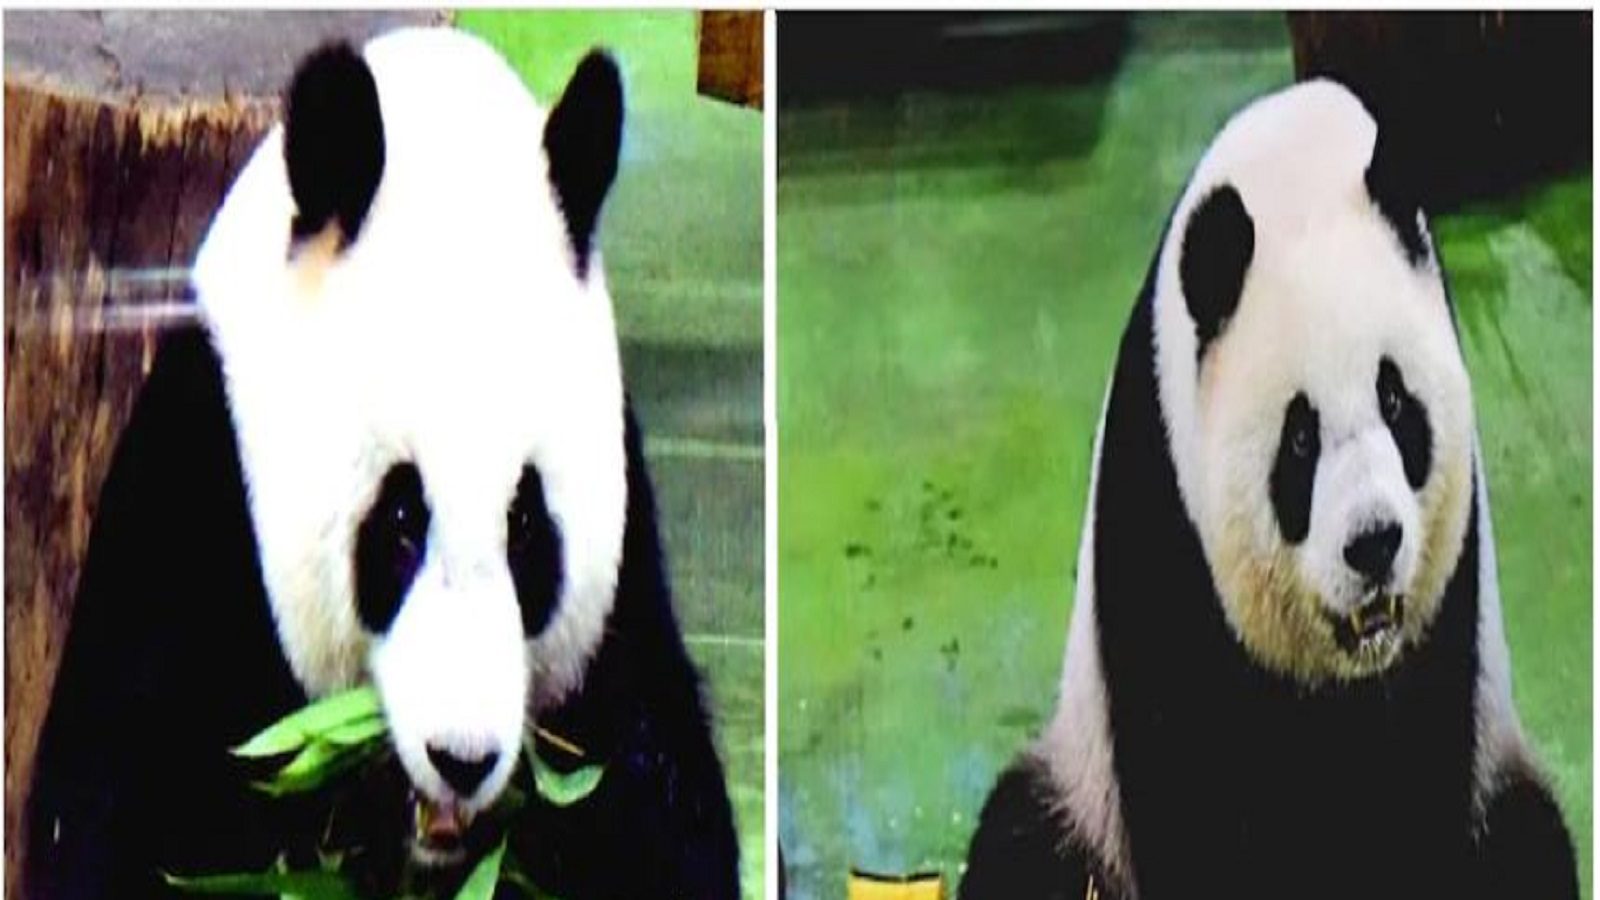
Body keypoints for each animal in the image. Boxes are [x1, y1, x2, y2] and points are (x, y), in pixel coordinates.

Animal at [25, 28, 739, 900]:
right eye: (401, 520)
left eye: (526, 526)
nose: (462, 760)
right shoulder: (198, 475)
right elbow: (120, 801)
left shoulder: (622, 585)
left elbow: (661, 798)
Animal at [960, 80, 1577, 900]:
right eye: (1301, 440)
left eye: (1395, 402)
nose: (1374, 543)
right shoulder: (1164, 514)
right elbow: (1192, 783)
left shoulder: (1448, 596)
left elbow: (1415, 784)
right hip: (1082, 794)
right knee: (1021, 840)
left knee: (1530, 838)